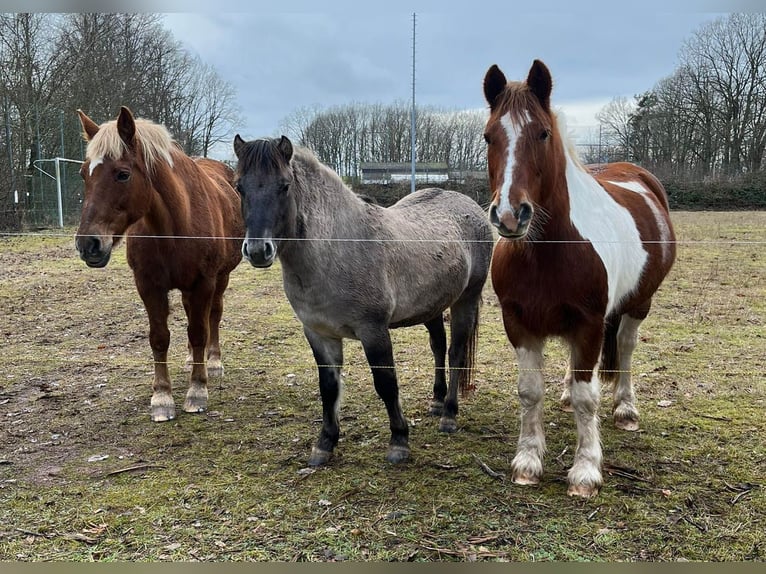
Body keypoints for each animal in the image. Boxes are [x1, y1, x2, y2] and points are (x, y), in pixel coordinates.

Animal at [74, 107, 243, 424]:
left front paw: (197, 391)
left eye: (123, 174)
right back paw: (191, 358)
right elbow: (159, 337)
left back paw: (212, 361)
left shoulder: (204, 282)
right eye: (83, 173)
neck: (175, 225)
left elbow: (199, 331)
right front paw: (162, 397)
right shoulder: (148, 285)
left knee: (212, 316)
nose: (88, 244)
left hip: (220, 278)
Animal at [234, 136, 496, 468]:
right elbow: (328, 387)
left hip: (466, 300)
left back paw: (449, 415)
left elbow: (386, 383)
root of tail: (471, 206)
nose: (258, 251)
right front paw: (325, 444)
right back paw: (437, 402)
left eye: (284, 186)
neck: (337, 249)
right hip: (432, 306)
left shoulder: (373, 330)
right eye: (239, 187)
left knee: (455, 353)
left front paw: (399, 441)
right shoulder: (319, 334)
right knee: (438, 346)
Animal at [486, 60, 680, 498]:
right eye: (488, 136)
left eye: (542, 133)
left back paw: (625, 408)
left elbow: (587, 398)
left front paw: (586, 470)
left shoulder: (590, 324)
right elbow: (530, 391)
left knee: (624, 348)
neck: (547, 250)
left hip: (638, 304)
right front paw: (528, 460)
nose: (510, 216)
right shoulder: (518, 323)